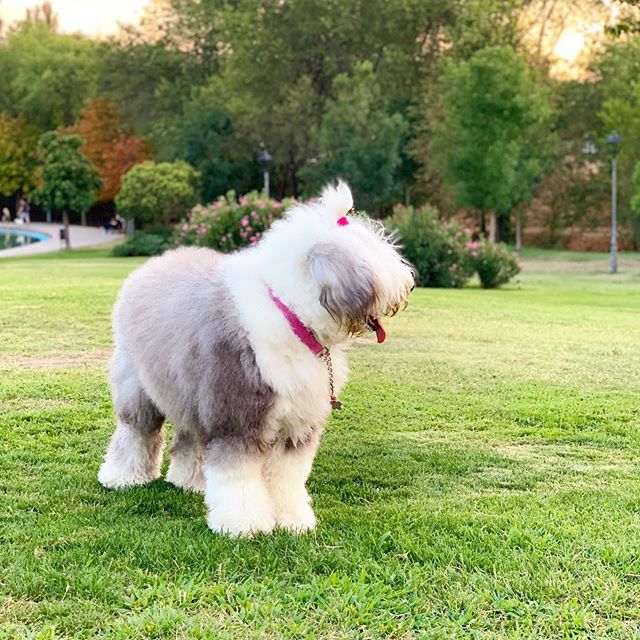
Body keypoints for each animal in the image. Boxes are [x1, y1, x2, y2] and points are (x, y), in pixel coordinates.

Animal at [97, 181, 412, 536]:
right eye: (378, 256)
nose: (410, 283)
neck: (291, 314)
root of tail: (150, 265)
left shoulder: (296, 425)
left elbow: (287, 478)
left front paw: (293, 521)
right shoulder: (236, 416)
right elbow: (239, 478)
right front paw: (244, 524)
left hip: (190, 393)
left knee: (191, 437)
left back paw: (189, 481)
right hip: (140, 386)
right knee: (136, 431)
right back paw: (122, 477)